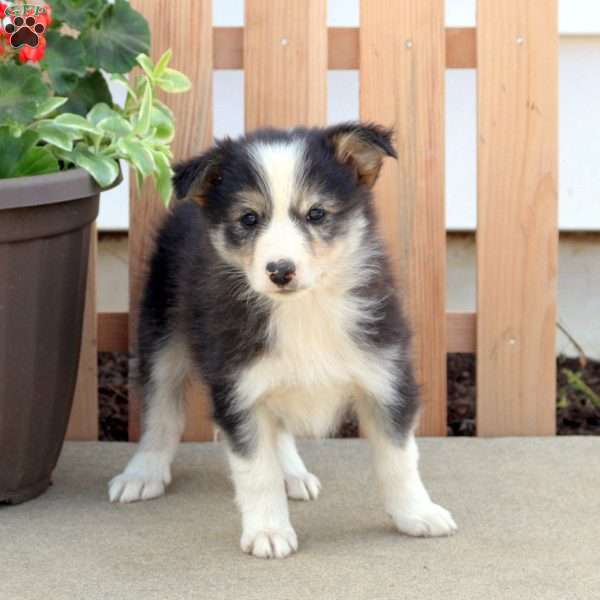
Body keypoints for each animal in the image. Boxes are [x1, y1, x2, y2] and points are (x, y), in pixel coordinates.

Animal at [109, 122, 454, 556]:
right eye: (249, 218)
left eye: (316, 213)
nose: (280, 270)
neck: (305, 309)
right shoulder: (238, 387)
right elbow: (256, 471)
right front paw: (269, 531)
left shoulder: (386, 375)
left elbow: (399, 458)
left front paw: (417, 514)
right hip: (161, 335)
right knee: (161, 412)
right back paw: (143, 472)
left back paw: (292, 472)